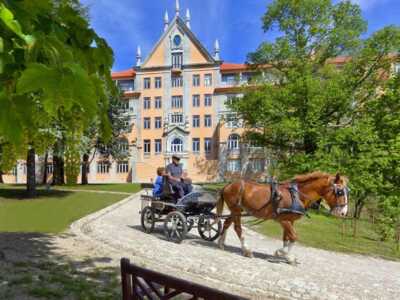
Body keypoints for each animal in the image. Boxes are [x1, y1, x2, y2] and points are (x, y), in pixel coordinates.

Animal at [216, 171, 350, 262]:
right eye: (340, 192)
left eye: (347, 192)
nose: (343, 212)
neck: (297, 195)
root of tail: (227, 186)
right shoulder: (284, 220)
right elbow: (294, 237)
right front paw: (283, 253)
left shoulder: (290, 221)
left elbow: (286, 238)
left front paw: (285, 255)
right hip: (236, 210)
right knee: (238, 228)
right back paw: (246, 250)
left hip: (235, 210)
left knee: (226, 223)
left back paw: (221, 244)